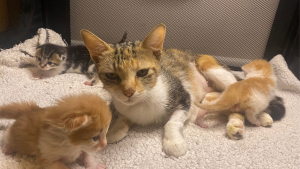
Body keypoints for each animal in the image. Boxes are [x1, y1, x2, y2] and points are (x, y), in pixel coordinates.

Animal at [80, 23, 241, 157]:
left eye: (142, 72)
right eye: (111, 75)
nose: (129, 92)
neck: (143, 101)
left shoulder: (183, 96)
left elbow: (172, 122)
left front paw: (174, 143)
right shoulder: (118, 103)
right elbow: (122, 117)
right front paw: (115, 130)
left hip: (211, 67)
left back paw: (236, 126)